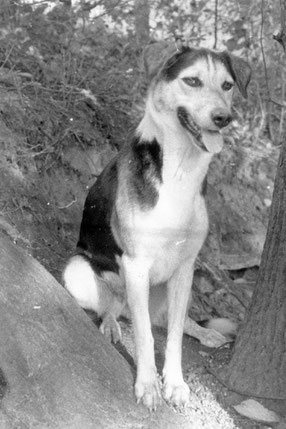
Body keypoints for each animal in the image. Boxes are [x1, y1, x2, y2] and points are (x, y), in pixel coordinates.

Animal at [63, 45, 251, 410]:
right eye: (192, 81)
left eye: (227, 85)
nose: (223, 118)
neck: (179, 171)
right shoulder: (136, 265)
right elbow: (146, 338)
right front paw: (148, 385)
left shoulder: (185, 268)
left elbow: (174, 335)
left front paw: (174, 383)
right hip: (78, 270)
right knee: (114, 308)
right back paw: (111, 325)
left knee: (169, 320)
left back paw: (206, 332)